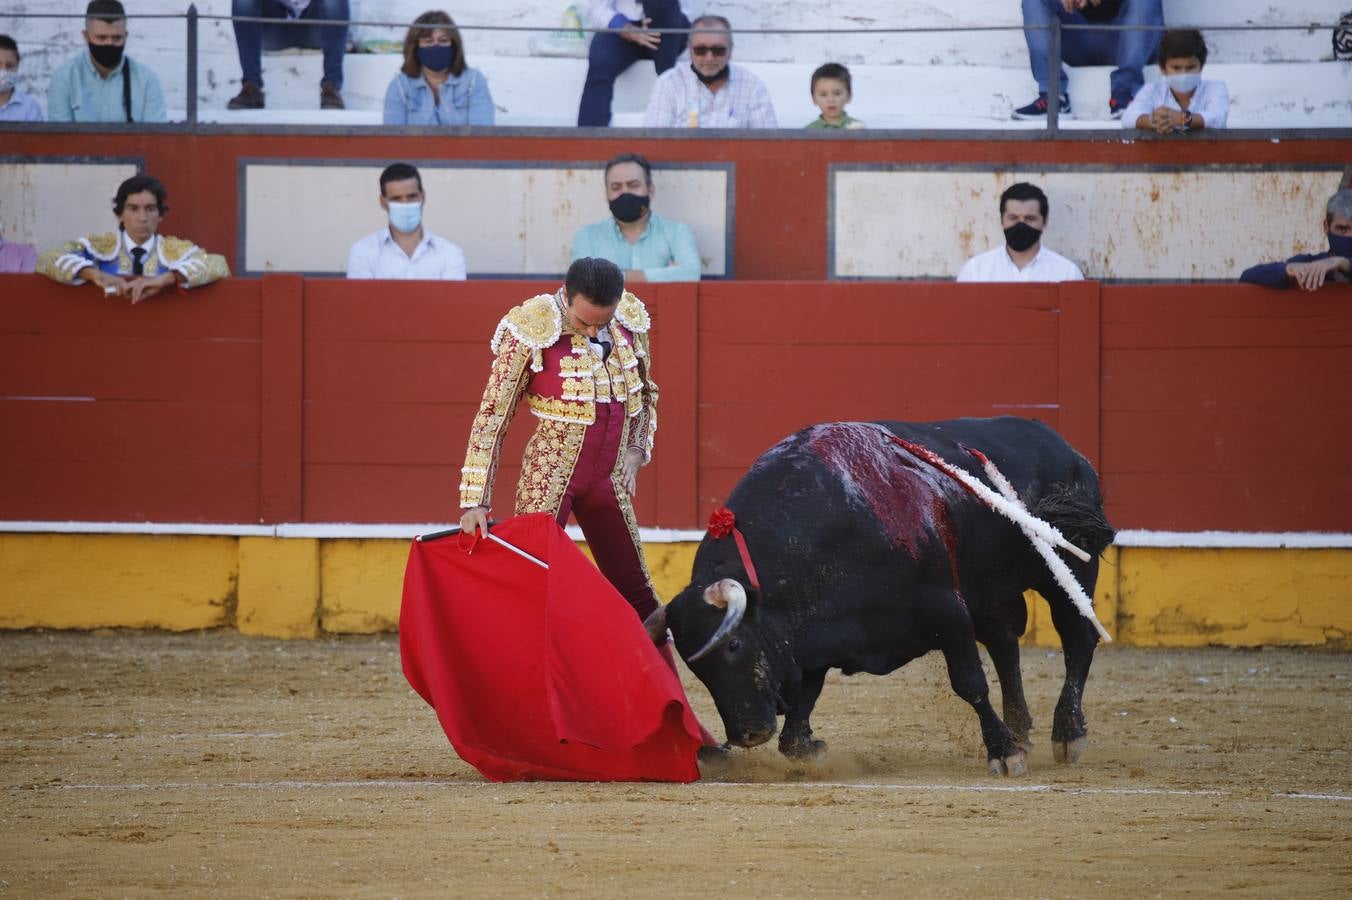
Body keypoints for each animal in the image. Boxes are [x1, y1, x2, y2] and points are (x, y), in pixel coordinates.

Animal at [640, 413, 1108, 772]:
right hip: (988, 593)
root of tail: (1069, 451)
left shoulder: (945, 608)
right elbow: (804, 698)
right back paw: (1022, 730)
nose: (747, 734)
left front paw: (1004, 754)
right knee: (1005, 646)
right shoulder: (813, 632)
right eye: (694, 666)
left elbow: (970, 683)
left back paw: (1067, 734)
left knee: (1077, 640)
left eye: (733, 644)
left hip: (1070, 571)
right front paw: (809, 749)